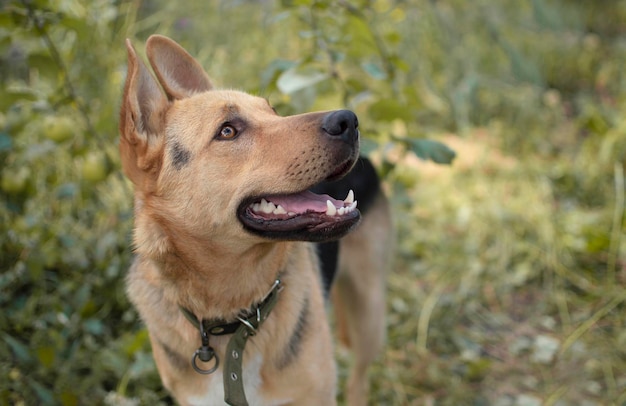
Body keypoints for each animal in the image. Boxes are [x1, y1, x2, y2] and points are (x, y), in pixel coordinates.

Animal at [118, 35, 390, 406]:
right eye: (228, 131)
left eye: (272, 111)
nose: (348, 120)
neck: (236, 319)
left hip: (369, 312)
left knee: (359, 380)